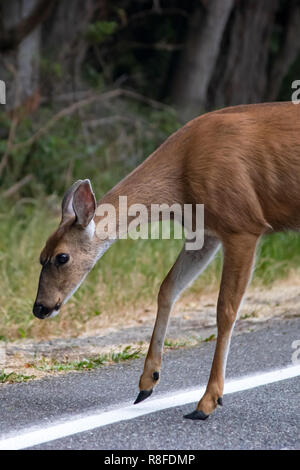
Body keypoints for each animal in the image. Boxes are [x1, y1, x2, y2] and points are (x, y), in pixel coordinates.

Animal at [32, 102, 300, 418]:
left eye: (62, 257)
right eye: (40, 257)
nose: (40, 307)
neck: (181, 184)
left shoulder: (242, 224)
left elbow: (225, 309)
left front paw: (207, 401)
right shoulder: (204, 232)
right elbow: (167, 288)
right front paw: (147, 382)